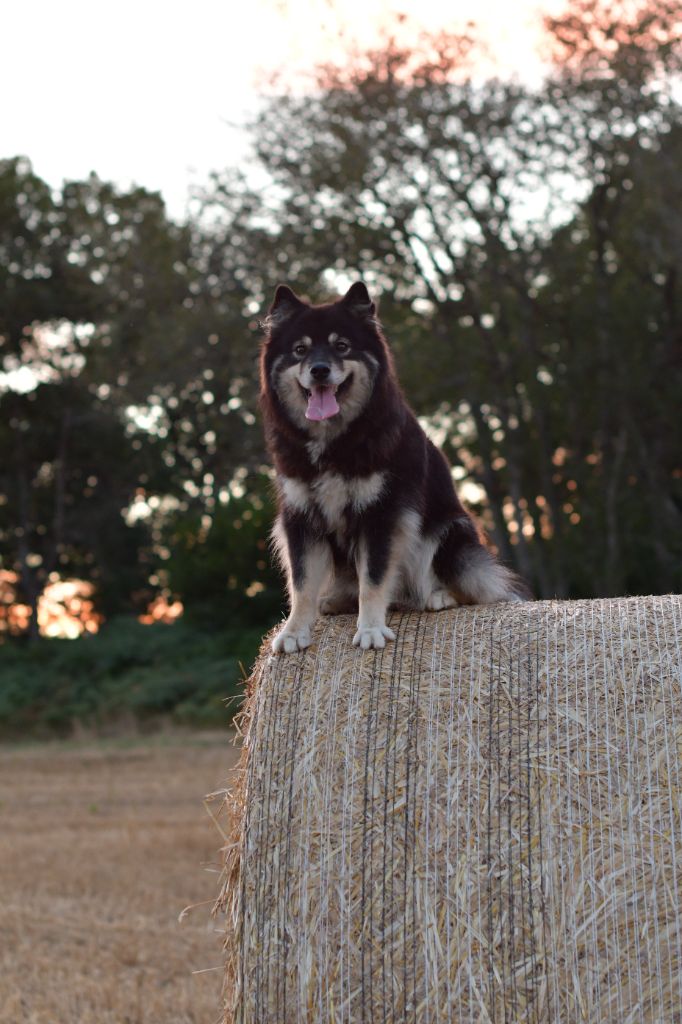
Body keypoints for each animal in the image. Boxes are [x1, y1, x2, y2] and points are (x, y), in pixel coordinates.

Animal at [258, 282, 522, 647]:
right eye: (300, 350)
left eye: (342, 346)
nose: (319, 370)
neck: (333, 441)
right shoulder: (300, 517)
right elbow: (302, 584)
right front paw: (294, 632)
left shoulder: (383, 514)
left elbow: (373, 579)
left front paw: (370, 629)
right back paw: (336, 601)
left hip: (451, 532)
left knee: (467, 586)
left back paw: (438, 596)